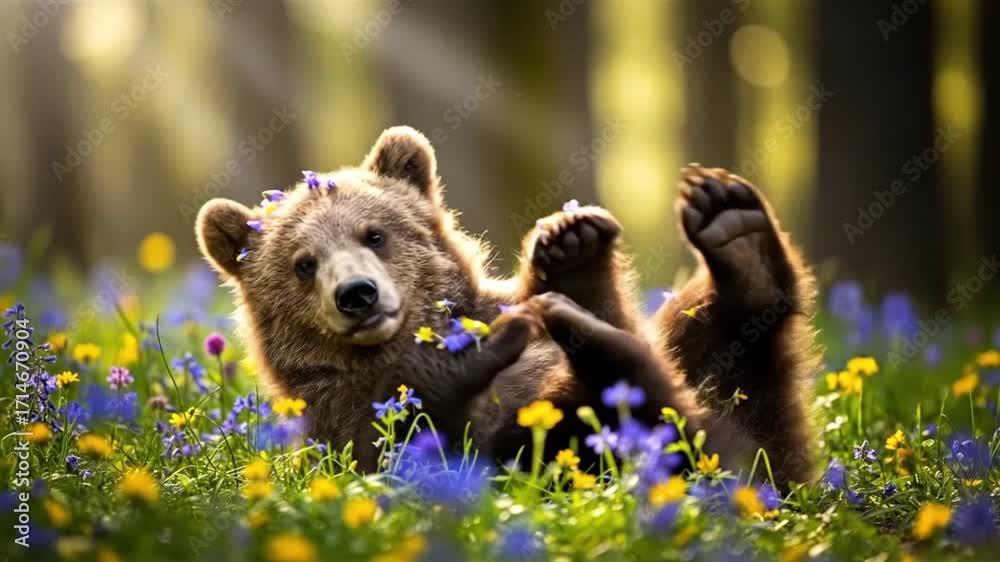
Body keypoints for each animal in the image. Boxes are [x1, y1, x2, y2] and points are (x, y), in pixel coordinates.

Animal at [195, 126, 819, 487]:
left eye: (375, 234)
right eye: (304, 263)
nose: (357, 294)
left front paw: (571, 246)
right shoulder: (331, 409)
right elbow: (392, 436)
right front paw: (470, 353)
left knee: (723, 359)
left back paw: (734, 231)